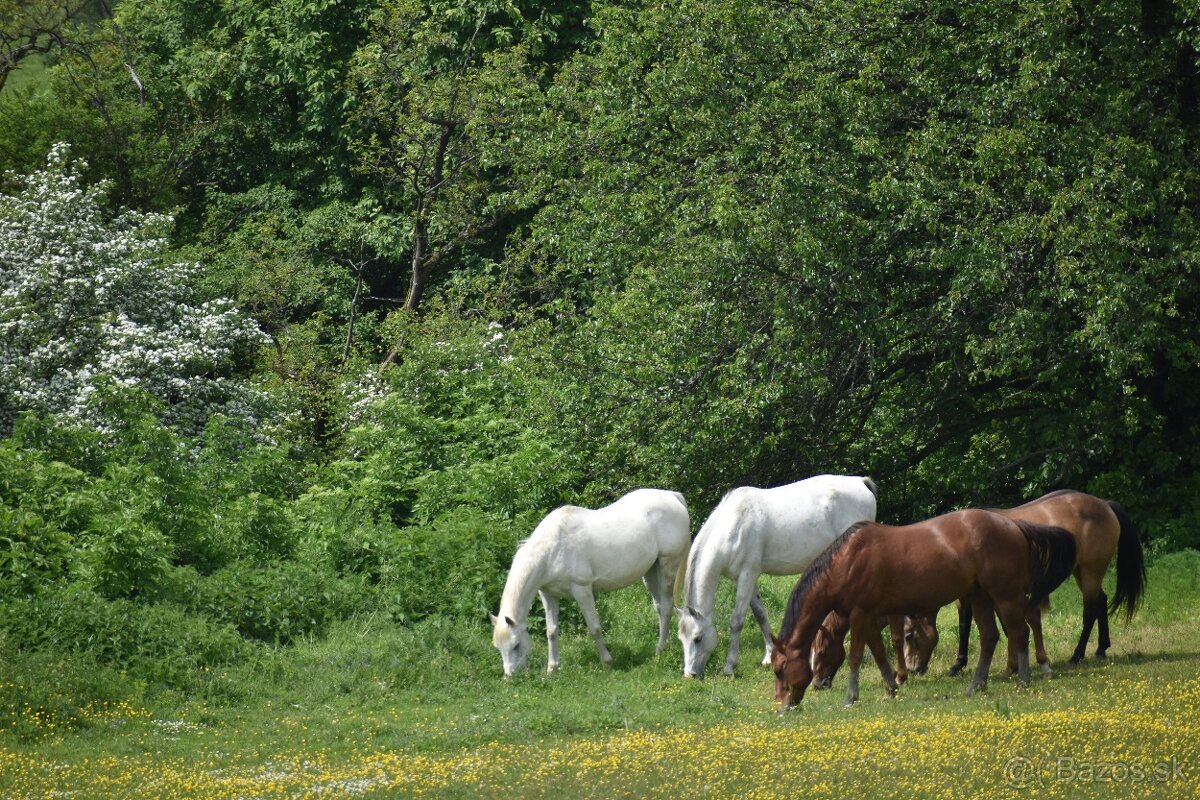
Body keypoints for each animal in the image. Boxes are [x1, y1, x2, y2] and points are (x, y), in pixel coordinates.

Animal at [489, 489, 696, 676]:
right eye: (497, 647)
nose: (510, 676)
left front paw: (607, 662)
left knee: (667, 606)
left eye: (516, 645)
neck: (552, 549)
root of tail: (672, 495)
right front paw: (552, 668)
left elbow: (594, 628)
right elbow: (551, 631)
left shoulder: (582, 590)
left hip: (668, 564)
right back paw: (664, 647)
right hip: (652, 570)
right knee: (660, 607)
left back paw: (659, 650)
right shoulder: (548, 594)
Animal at [681, 472, 878, 681]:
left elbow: (737, 622)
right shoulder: (748, 580)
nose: (689, 674)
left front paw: (730, 666)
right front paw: (769, 656)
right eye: (681, 638)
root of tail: (860, 482)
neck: (734, 527)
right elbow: (760, 615)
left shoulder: (747, 576)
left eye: (697, 638)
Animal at [772, 510, 1075, 710]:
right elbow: (879, 653)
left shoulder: (860, 614)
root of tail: (1014, 525)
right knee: (990, 637)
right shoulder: (870, 617)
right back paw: (976, 685)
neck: (847, 560)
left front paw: (851, 697)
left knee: (1019, 631)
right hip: (980, 597)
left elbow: (857, 656)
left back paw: (1024, 678)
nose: (783, 705)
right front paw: (891, 687)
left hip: (1005, 595)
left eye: (779, 670)